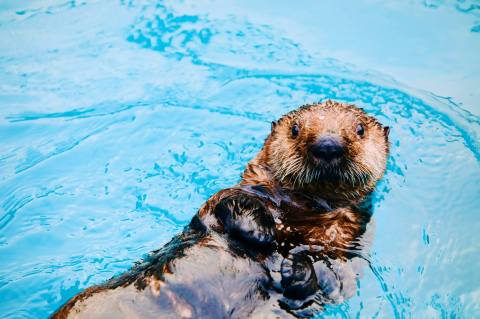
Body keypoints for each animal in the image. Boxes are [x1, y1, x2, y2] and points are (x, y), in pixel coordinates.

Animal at [51, 102, 390, 319]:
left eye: (360, 129)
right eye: (295, 129)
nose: (328, 145)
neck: (297, 217)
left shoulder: (346, 250)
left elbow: (332, 282)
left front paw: (296, 266)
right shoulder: (236, 195)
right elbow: (229, 204)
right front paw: (261, 231)